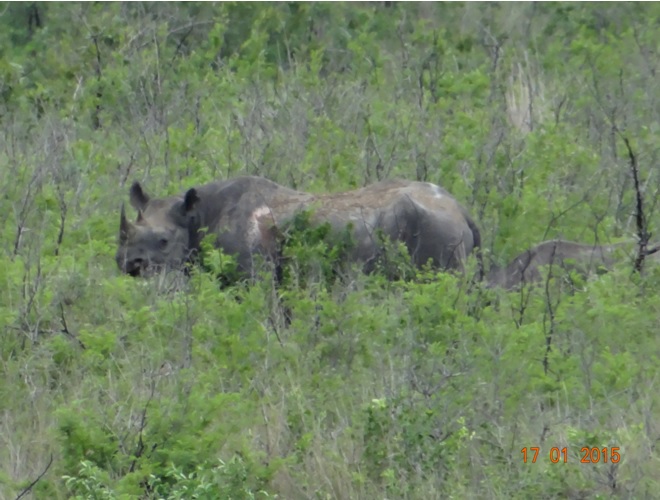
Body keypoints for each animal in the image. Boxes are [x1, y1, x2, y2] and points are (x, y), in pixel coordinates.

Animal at [116, 176, 482, 280]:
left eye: (163, 241)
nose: (128, 264)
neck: (197, 217)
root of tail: (461, 209)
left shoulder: (251, 277)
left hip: (439, 230)